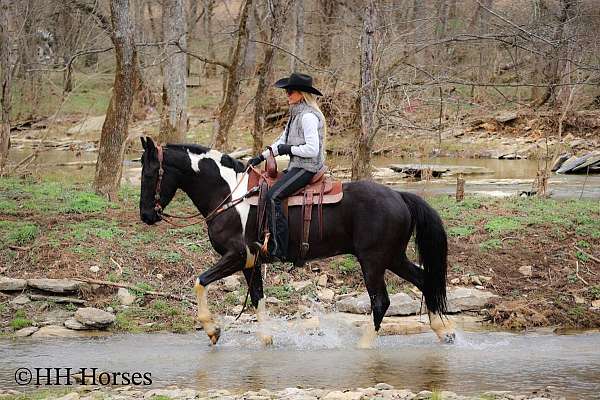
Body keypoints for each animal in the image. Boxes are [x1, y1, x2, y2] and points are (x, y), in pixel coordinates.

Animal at [137, 136, 454, 346]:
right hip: (394, 257)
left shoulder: (236, 256)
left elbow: (200, 281)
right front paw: (266, 339)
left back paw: (364, 346)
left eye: (151, 173)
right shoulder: (251, 262)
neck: (230, 194)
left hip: (373, 261)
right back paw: (444, 331)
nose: (146, 215)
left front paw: (212, 330)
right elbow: (257, 299)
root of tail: (399, 195)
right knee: (425, 280)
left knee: (381, 302)